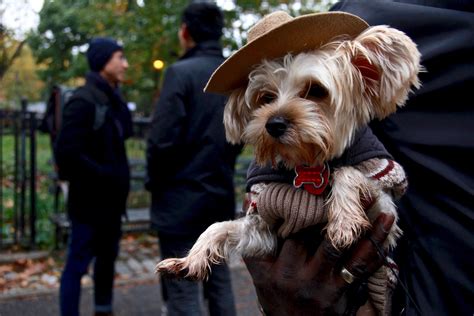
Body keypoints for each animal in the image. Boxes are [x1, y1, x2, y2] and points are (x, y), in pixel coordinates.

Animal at [157, 9, 420, 292]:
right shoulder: (263, 232)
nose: (274, 124)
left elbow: (347, 172)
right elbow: (218, 227)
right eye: (265, 97)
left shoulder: (384, 209)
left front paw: (344, 220)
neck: (307, 163)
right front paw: (189, 261)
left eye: (316, 90)